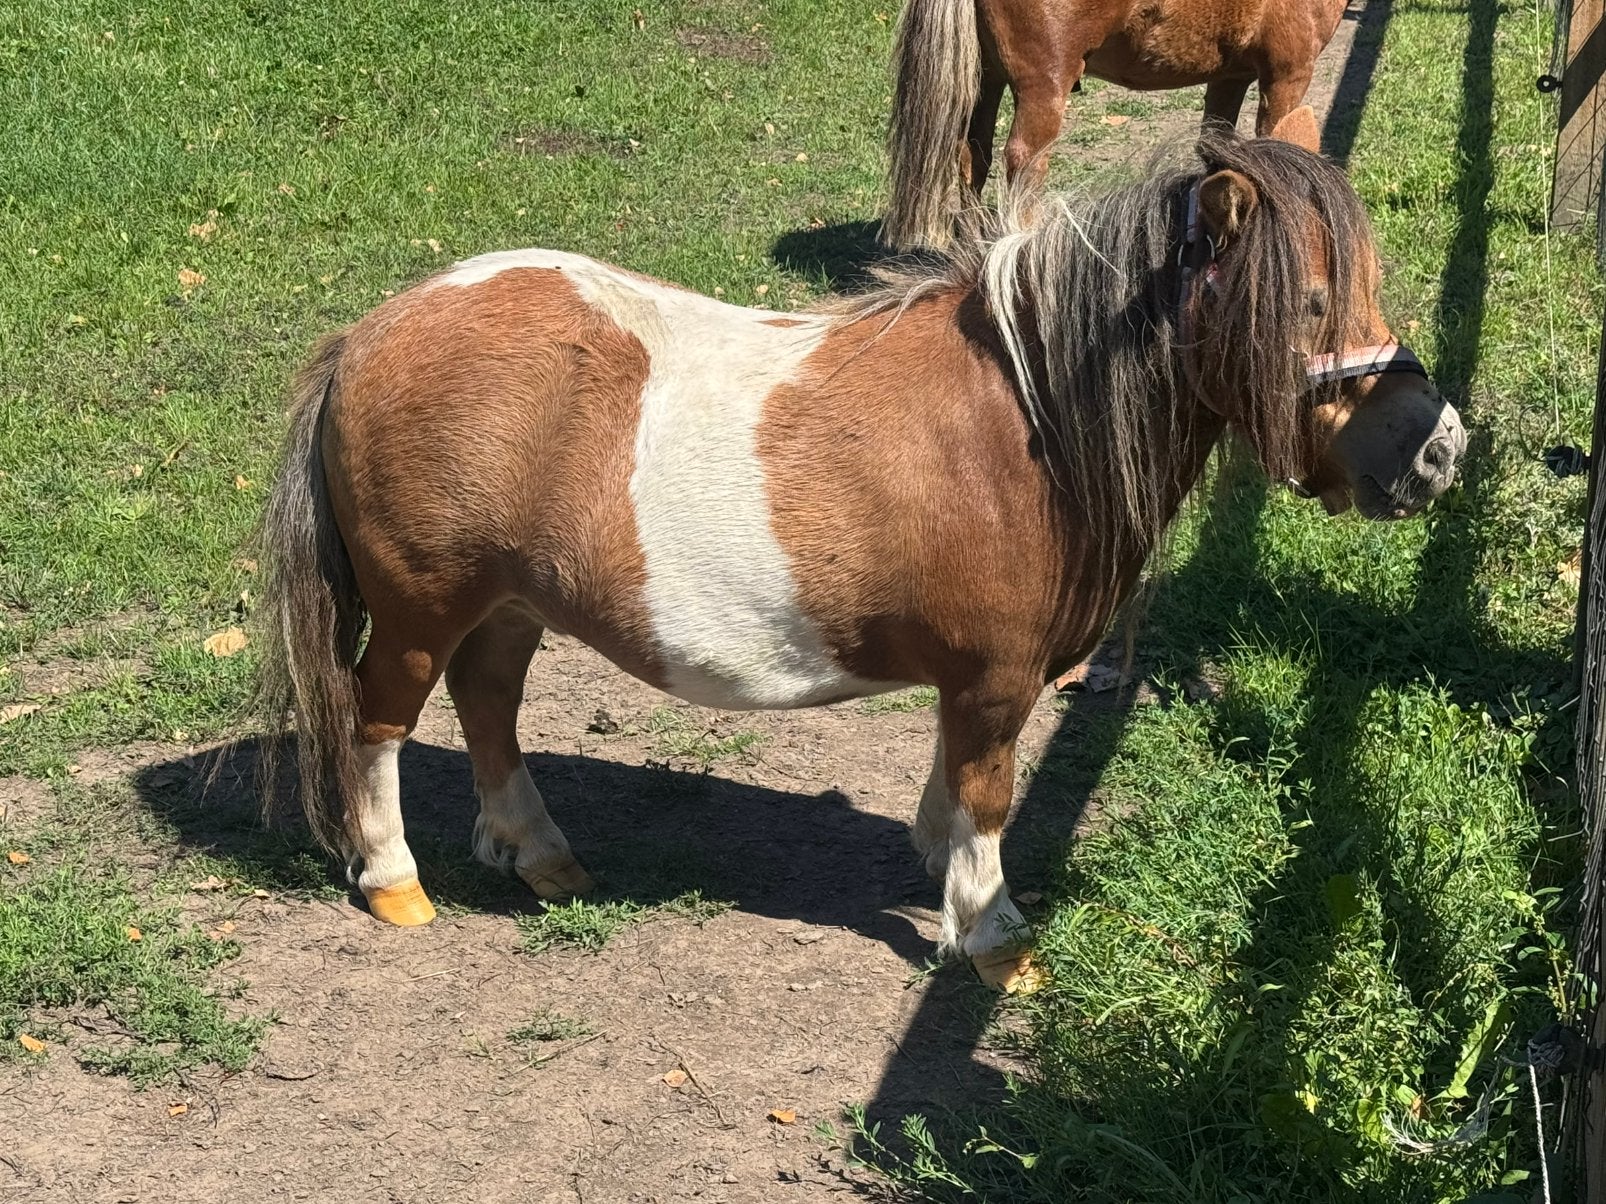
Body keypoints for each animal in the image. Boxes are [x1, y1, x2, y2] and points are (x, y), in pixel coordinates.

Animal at [253, 111, 1463, 993]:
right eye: (1309, 300)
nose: (1438, 446)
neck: (1027, 417)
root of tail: (369, 334)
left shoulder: (976, 680)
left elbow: (955, 783)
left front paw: (941, 866)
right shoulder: (996, 677)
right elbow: (987, 794)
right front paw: (991, 931)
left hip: (506, 604)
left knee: (488, 701)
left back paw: (538, 852)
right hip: (421, 605)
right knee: (379, 722)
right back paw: (394, 879)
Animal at [883, 0, 1350, 249]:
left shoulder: (1229, 77)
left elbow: (1215, 148)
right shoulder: (1287, 77)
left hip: (986, 77)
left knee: (971, 156)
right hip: (1042, 89)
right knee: (1023, 165)